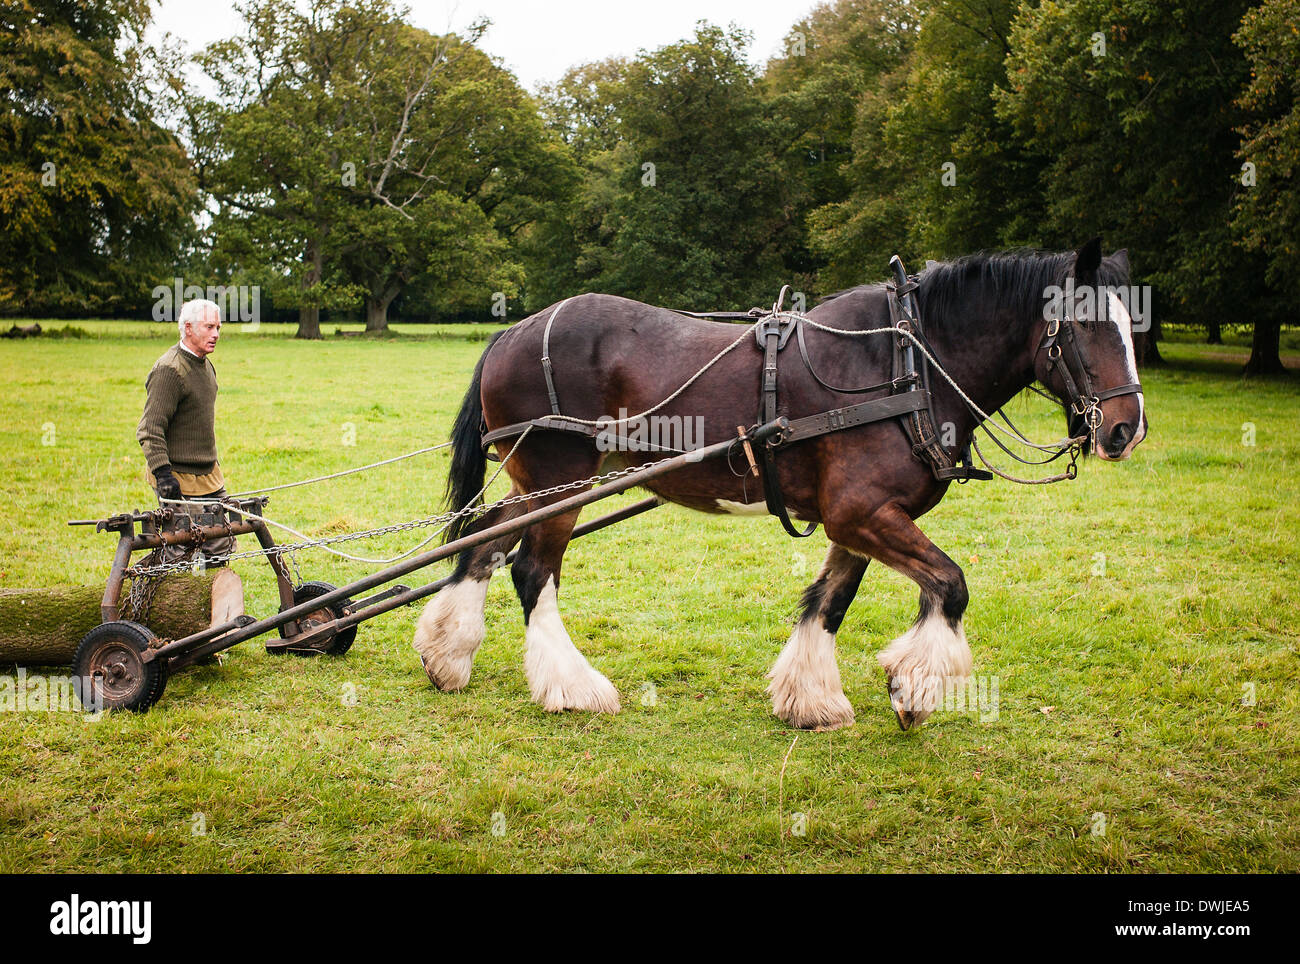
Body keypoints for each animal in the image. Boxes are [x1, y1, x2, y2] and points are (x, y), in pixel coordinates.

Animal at [413, 241, 1149, 732]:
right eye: (1085, 324)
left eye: (1130, 321)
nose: (1126, 428)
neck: (907, 360)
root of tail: (512, 329)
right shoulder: (861, 512)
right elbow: (951, 584)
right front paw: (912, 689)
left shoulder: (858, 519)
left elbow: (829, 600)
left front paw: (810, 698)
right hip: (559, 483)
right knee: (532, 571)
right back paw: (570, 686)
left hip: (539, 483)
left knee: (480, 537)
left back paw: (447, 654)